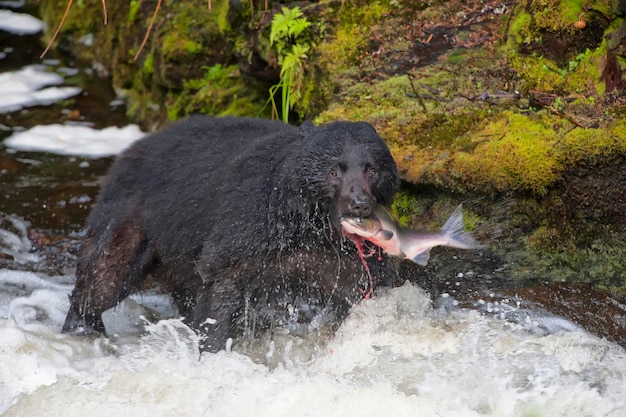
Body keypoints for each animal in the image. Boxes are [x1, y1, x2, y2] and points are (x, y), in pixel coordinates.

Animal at [62, 114, 394, 352]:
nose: (359, 203)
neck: (311, 226)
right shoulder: (247, 228)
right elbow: (221, 287)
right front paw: (214, 349)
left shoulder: (338, 259)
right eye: (335, 170)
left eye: (372, 169)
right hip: (134, 215)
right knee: (106, 274)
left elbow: (357, 293)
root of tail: (131, 148)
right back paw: (81, 327)